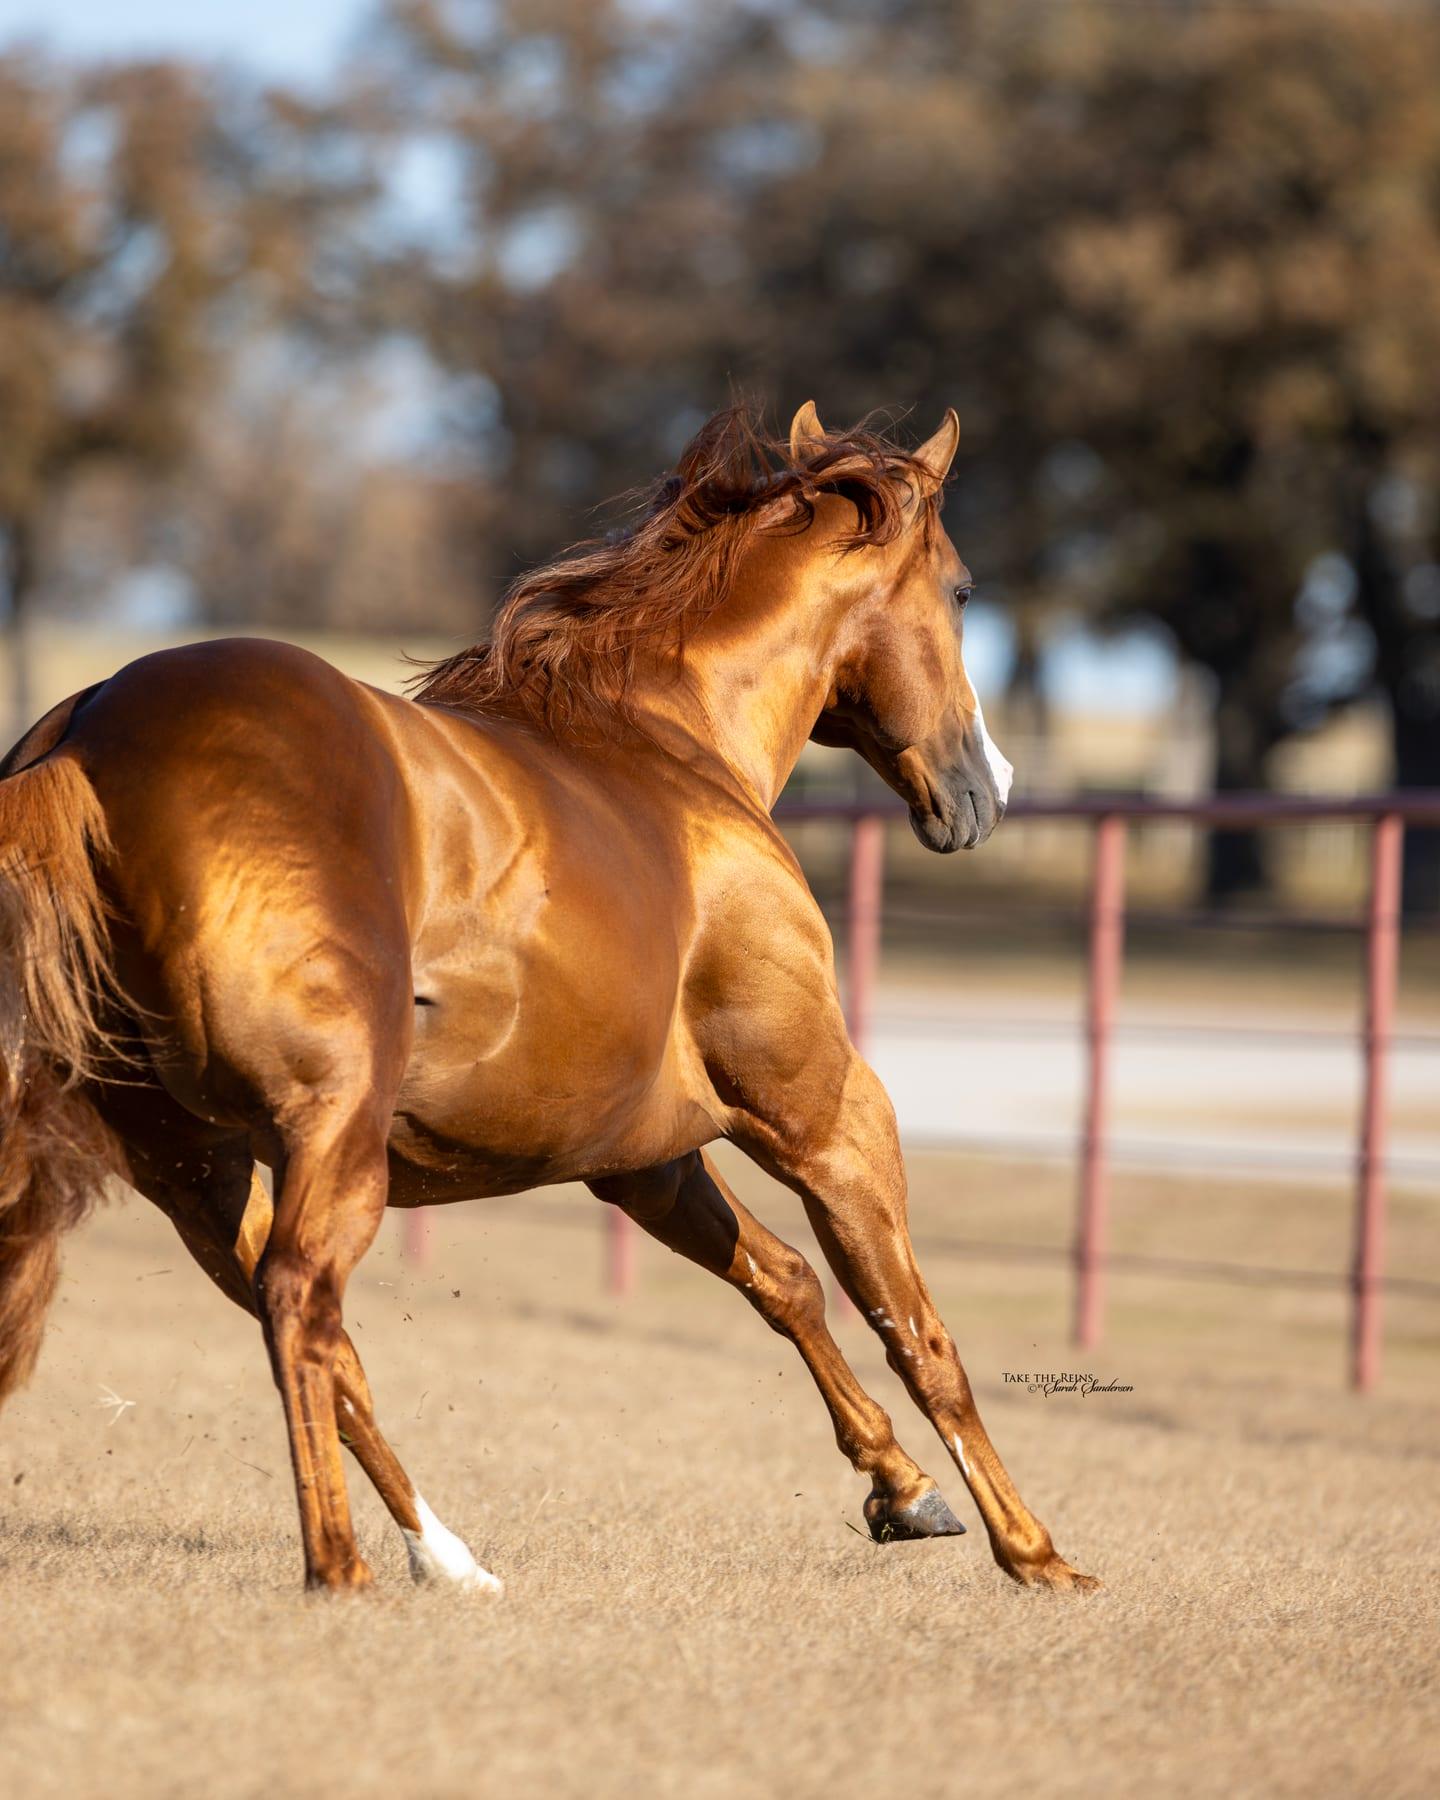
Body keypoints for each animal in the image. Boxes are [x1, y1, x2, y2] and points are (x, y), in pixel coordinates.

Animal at [0, 400, 1097, 1595]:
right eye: (963, 591)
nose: (986, 789)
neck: (667, 743)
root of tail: (81, 734)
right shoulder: (827, 1117)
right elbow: (919, 1333)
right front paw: (1035, 1554)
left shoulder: (645, 1163)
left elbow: (785, 1282)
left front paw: (903, 1492)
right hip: (325, 1134)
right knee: (300, 1302)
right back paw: (342, 1571)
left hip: (202, 1170)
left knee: (320, 1338)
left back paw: (449, 1560)